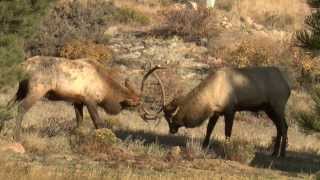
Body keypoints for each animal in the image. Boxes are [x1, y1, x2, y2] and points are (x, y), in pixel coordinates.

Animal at [7, 56, 161, 141]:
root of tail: (23, 65)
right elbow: (99, 123)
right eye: (138, 105)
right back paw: (17, 137)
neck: (106, 90)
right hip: (37, 89)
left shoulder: (77, 101)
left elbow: (79, 123)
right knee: (21, 108)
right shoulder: (90, 100)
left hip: (21, 89)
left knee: (9, 104)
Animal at [144, 66, 292, 158]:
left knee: (284, 126)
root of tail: (288, 87)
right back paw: (274, 153)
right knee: (280, 127)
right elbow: (209, 129)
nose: (172, 130)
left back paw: (282, 154)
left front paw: (225, 149)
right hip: (269, 109)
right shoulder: (215, 112)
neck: (211, 95)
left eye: (171, 118)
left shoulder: (231, 109)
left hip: (278, 105)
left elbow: (227, 132)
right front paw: (204, 146)